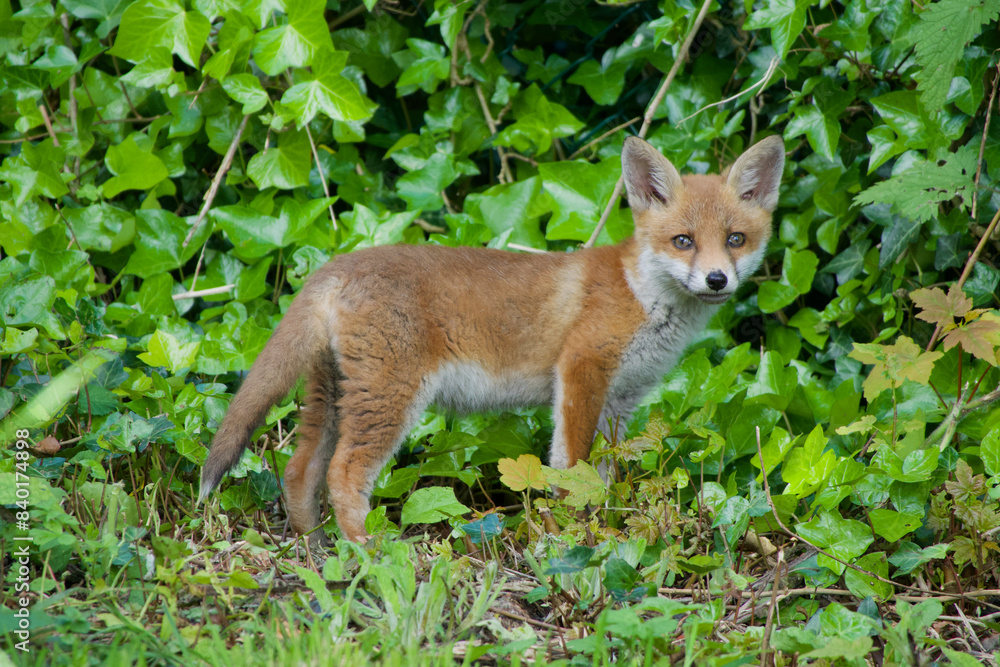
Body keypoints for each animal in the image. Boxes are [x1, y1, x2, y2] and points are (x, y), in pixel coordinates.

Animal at [199, 135, 784, 544]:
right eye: (683, 241)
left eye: (735, 239)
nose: (717, 280)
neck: (643, 297)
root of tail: (338, 263)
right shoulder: (580, 372)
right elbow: (569, 469)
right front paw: (568, 537)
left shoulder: (621, 401)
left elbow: (604, 475)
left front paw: (604, 531)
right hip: (389, 399)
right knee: (344, 474)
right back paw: (368, 551)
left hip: (333, 398)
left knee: (299, 470)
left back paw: (316, 550)